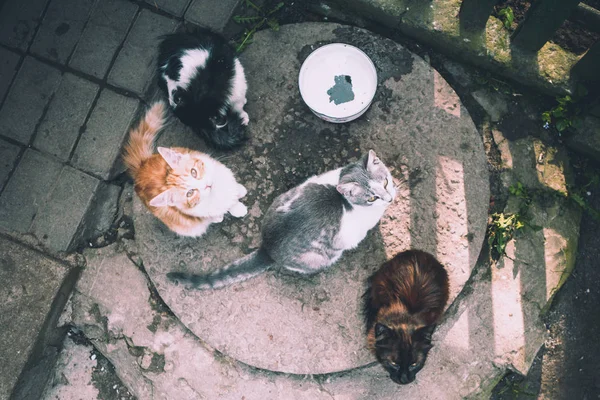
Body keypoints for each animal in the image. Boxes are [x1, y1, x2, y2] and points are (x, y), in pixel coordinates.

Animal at [123, 101, 247, 238]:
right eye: (190, 193)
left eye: (194, 172)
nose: (206, 185)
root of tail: (141, 166)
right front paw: (236, 208)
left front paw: (237, 192)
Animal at [166, 150, 396, 290]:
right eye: (371, 198)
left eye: (385, 182)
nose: (390, 199)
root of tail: (268, 248)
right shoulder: (351, 234)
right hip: (321, 256)